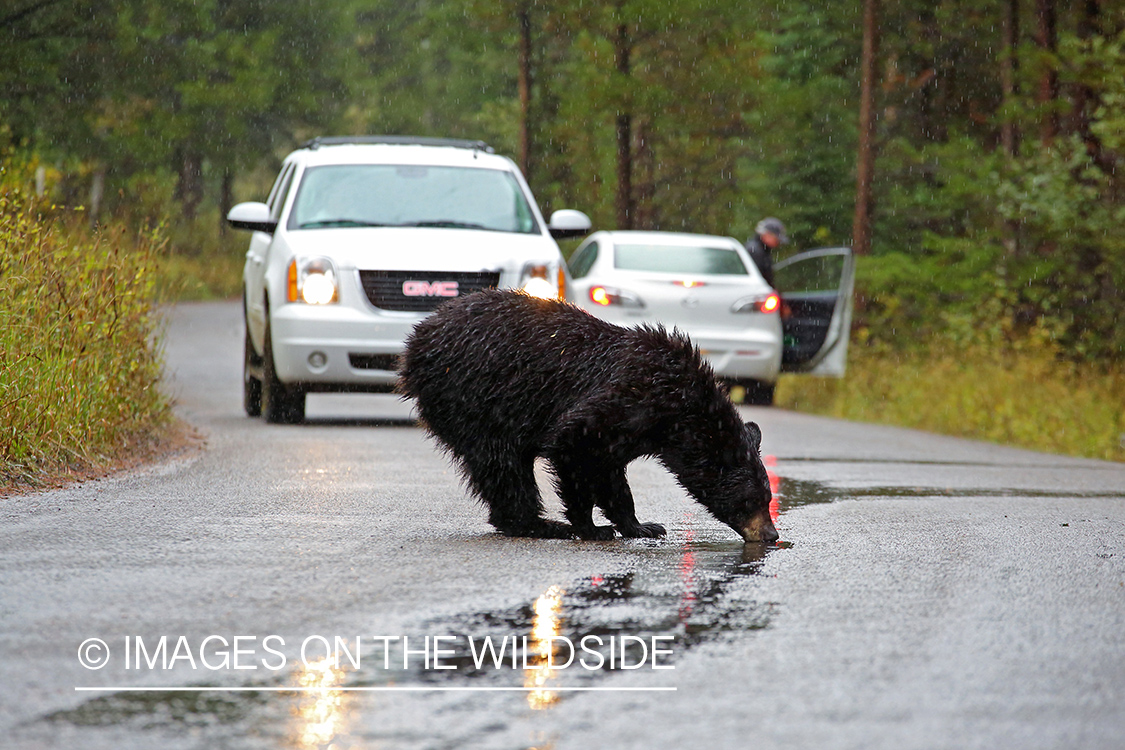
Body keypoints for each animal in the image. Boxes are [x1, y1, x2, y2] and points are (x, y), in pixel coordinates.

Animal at [400, 290, 778, 546]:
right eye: (752, 500)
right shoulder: (627, 396)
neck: (679, 409)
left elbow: (611, 473)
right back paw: (543, 525)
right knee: (502, 463)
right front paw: (591, 528)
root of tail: (416, 341)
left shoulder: (630, 429)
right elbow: (573, 444)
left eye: (768, 497)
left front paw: (641, 526)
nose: (771, 534)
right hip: (476, 397)